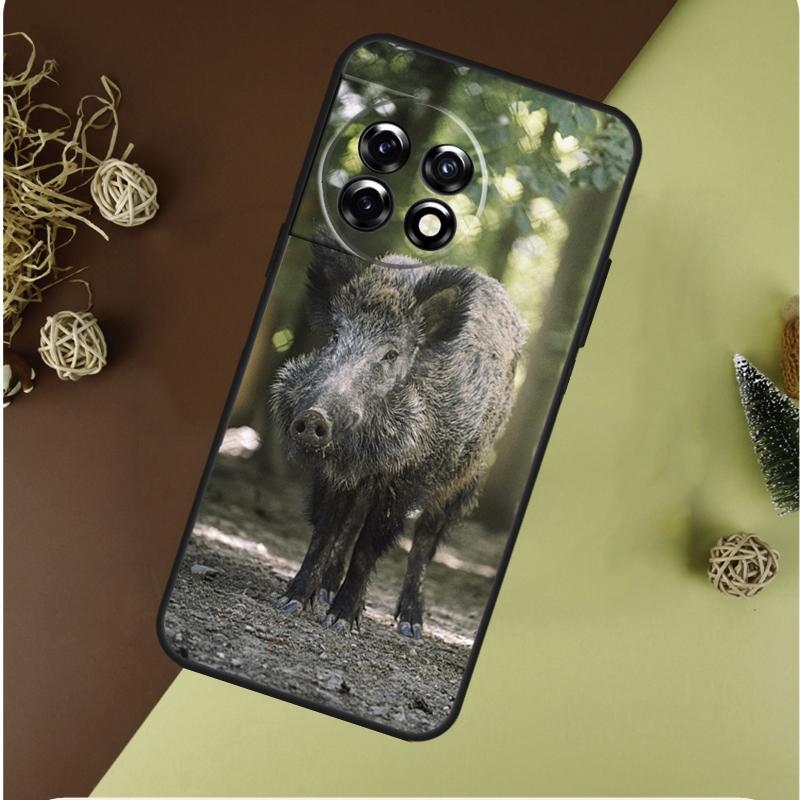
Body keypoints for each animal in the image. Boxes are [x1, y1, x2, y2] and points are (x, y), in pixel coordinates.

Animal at [270, 240, 526, 638]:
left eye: (391, 354)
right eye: (335, 338)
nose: (313, 417)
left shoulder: (409, 479)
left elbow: (371, 545)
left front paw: (342, 622)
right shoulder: (336, 475)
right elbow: (326, 530)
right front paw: (291, 602)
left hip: (461, 481)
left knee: (424, 541)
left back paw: (410, 625)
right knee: (351, 524)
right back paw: (327, 592)